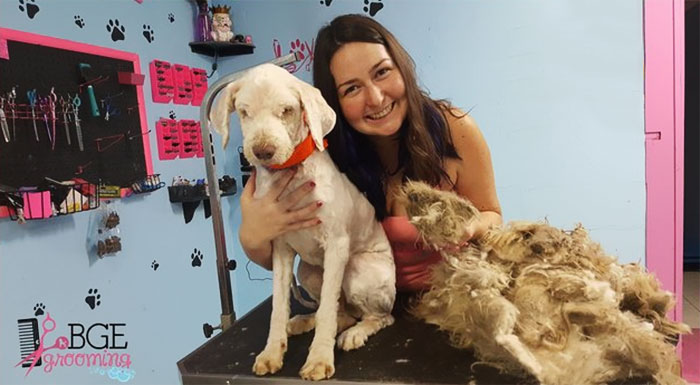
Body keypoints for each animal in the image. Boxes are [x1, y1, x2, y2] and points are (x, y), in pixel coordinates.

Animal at [209, 64, 394, 380]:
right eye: (244, 112)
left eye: (287, 110)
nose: (263, 152)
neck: (291, 173)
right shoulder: (281, 250)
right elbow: (278, 307)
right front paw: (272, 352)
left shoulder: (336, 245)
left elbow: (328, 310)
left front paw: (319, 359)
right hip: (308, 271)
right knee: (340, 312)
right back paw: (305, 321)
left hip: (358, 268)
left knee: (379, 316)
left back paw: (355, 333)